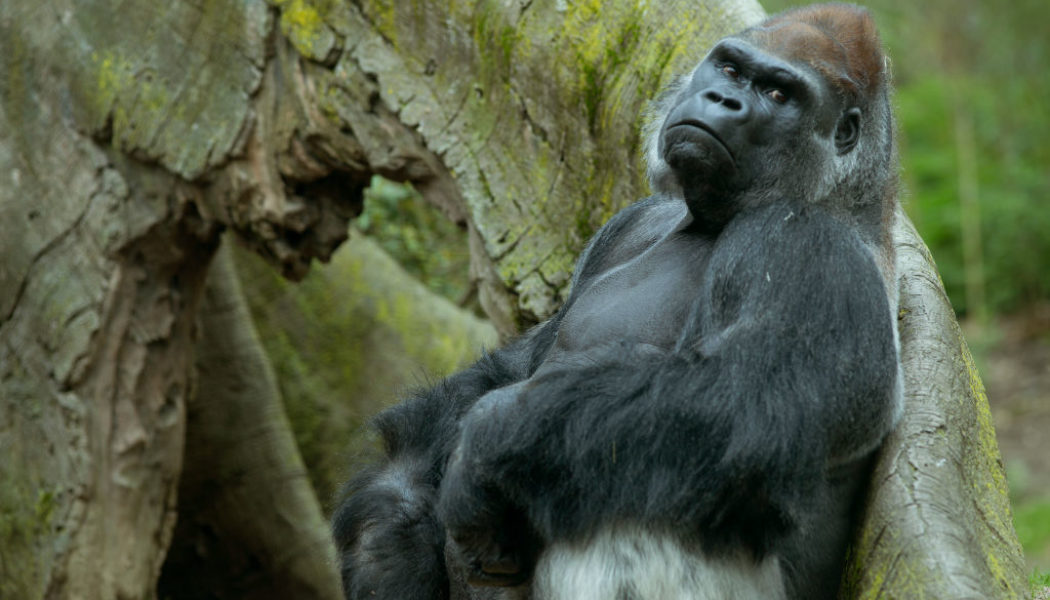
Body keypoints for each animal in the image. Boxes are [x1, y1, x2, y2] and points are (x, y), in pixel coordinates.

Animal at [333, 4, 902, 600]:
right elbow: (509, 369)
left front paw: (486, 447)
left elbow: (756, 398)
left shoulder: (808, 244)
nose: (723, 99)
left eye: (778, 93)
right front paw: (388, 534)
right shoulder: (630, 221)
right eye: (729, 69)